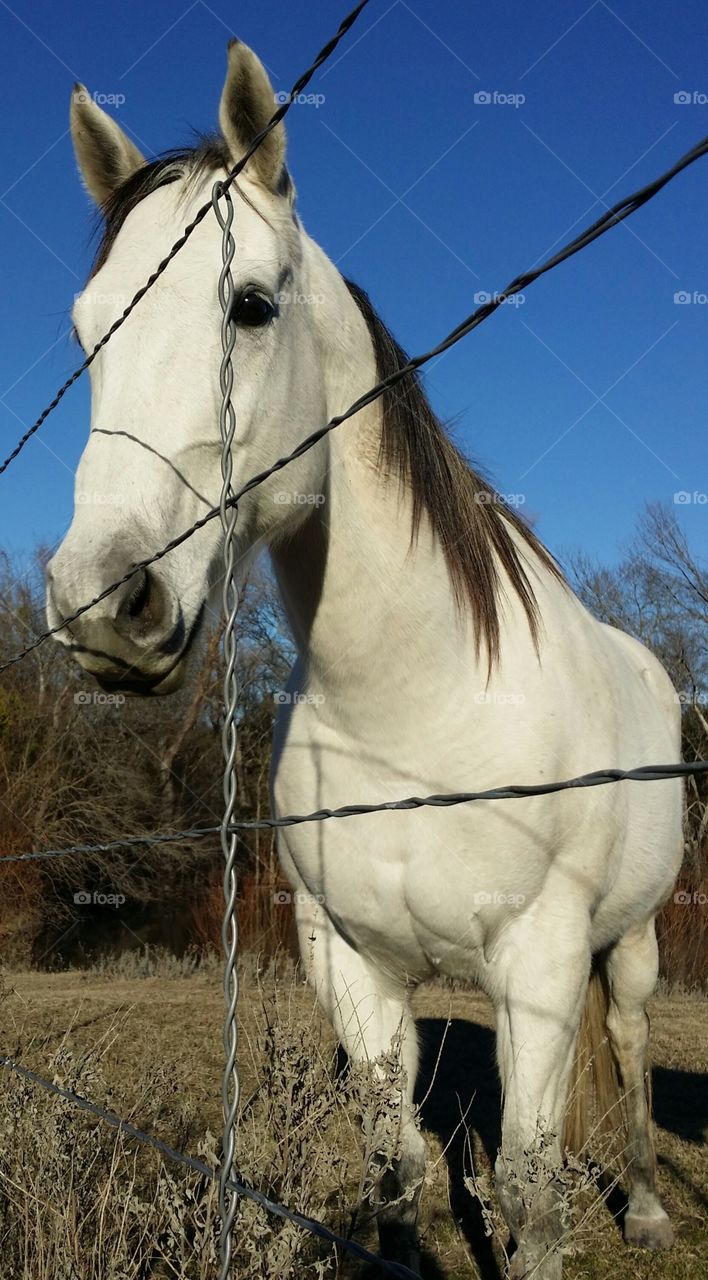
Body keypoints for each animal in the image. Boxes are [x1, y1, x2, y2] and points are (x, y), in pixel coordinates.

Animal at [47, 42, 681, 1280]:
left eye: (250, 305)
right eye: (88, 333)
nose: (100, 601)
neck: (418, 704)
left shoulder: (539, 966)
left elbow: (530, 1195)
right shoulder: (351, 963)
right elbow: (397, 1168)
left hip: (628, 943)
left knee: (630, 1050)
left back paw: (642, 1200)